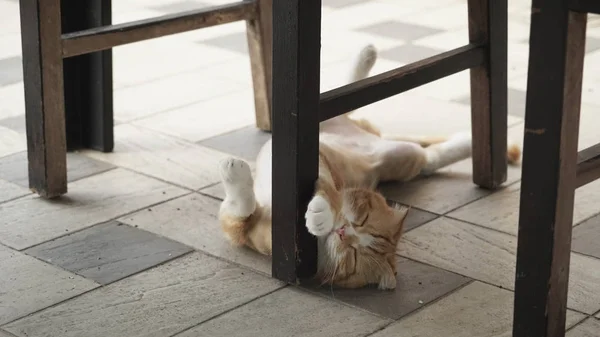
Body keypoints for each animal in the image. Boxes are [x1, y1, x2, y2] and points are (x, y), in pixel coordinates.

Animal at [217, 44, 520, 288]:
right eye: (360, 219)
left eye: (353, 257)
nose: (342, 232)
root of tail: (373, 137)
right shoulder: (320, 161)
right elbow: (249, 208)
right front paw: (321, 211)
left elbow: (240, 212)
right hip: (326, 123)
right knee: (340, 101)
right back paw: (366, 55)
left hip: (404, 156)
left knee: (430, 158)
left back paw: (475, 141)